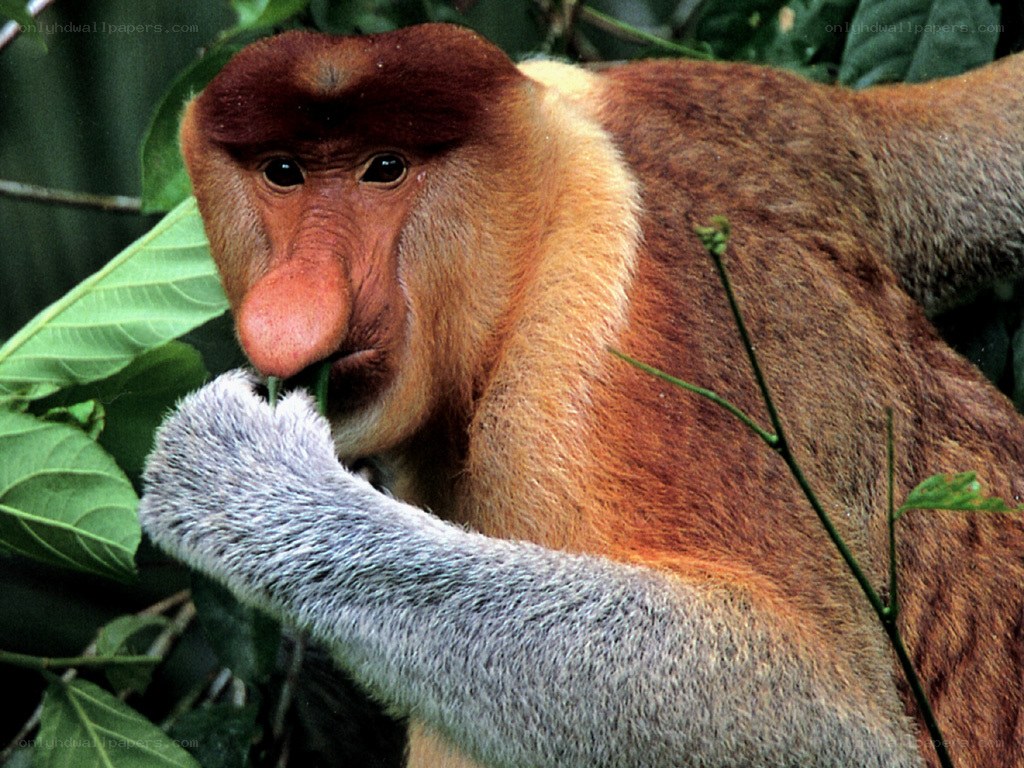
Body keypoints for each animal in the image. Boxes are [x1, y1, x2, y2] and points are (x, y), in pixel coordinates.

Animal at [139, 23, 1024, 768]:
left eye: (384, 168)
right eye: (283, 172)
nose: (291, 307)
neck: (546, 206)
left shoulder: (566, 385)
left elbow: (827, 719)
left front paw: (241, 483)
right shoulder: (734, 103)